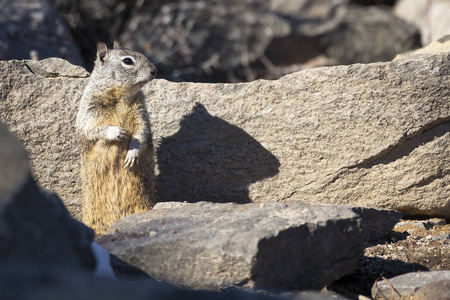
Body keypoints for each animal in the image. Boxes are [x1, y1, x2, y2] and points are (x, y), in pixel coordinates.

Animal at [75, 41, 156, 234]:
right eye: (128, 61)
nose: (154, 70)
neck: (120, 96)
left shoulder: (142, 114)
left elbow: (142, 133)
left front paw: (132, 154)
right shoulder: (88, 112)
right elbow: (90, 129)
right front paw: (116, 132)